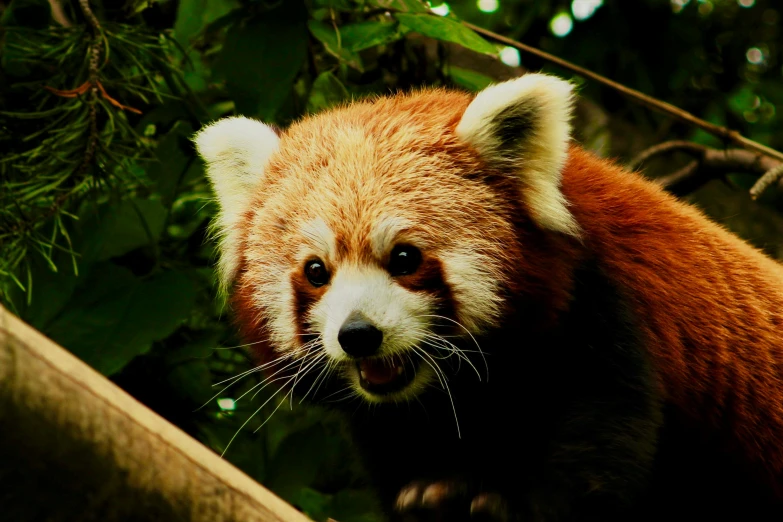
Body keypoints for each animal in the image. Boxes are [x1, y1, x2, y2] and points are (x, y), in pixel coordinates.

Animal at [194, 74, 783, 520]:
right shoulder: (389, 423)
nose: (358, 334)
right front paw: (436, 499)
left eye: (404, 258)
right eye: (316, 271)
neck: (463, 392)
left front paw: (501, 506)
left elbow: (598, 454)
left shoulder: (601, 311)